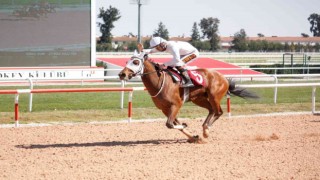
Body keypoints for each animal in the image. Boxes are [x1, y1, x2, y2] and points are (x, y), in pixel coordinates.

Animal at [117, 51, 258, 143]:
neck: (159, 81)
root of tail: (223, 78)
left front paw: (187, 127)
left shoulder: (176, 104)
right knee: (211, 110)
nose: (122, 74)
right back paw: (204, 129)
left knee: (218, 111)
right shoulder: (165, 108)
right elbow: (174, 124)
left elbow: (169, 124)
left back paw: (206, 130)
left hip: (214, 96)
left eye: (136, 62)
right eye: (127, 61)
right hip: (199, 99)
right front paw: (193, 136)